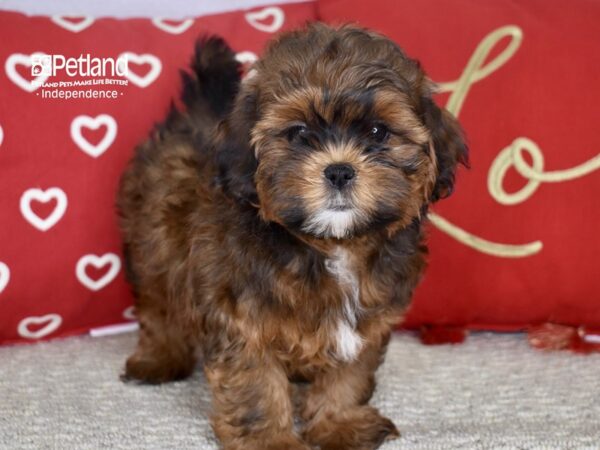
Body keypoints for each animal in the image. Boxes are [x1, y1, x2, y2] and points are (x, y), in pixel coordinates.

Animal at [117, 23, 468, 450]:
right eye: (298, 133)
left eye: (377, 131)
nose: (339, 170)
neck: (332, 244)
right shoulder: (244, 319)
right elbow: (257, 386)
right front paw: (270, 440)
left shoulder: (366, 322)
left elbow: (347, 375)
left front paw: (337, 423)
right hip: (151, 244)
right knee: (157, 305)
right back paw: (158, 358)